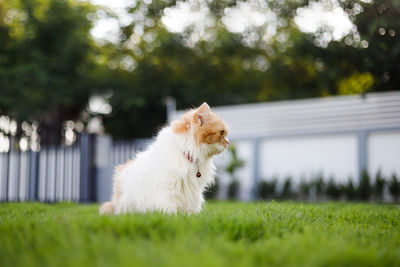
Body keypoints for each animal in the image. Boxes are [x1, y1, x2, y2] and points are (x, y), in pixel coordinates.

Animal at [100, 102, 228, 216]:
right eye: (222, 133)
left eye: (225, 134)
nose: (228, 143)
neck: (187, 153)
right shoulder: (167, 188)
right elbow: (169, 208)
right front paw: (173, 217)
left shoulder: (193, 191)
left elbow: (191, 209)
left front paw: (190, 217)